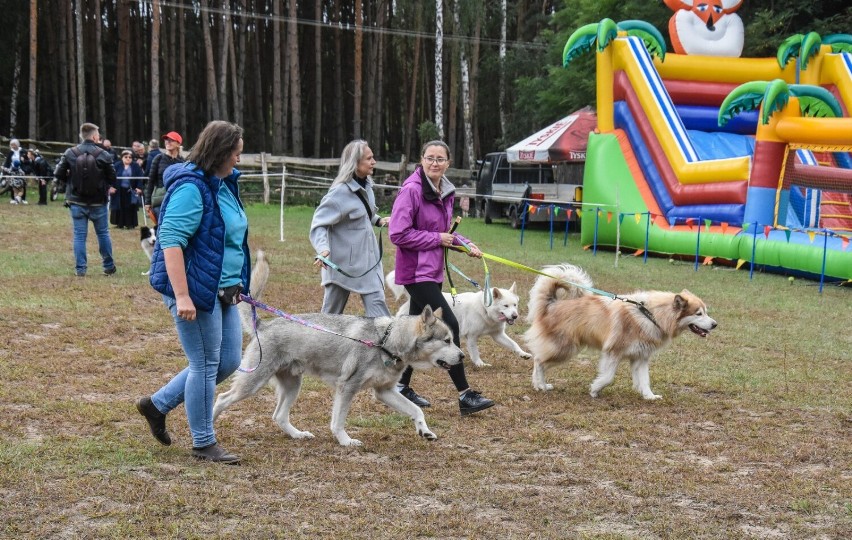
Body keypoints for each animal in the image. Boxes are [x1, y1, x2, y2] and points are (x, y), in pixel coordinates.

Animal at [213, 251, 466, 446]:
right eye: (446, 340)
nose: (463, 356)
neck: (385, 341)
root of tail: (263, 325)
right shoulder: (347, 387)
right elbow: (338, 422)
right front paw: (345, 441)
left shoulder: (385, 391)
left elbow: (416, 410)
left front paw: (425, 431)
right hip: (253, 383)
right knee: (221, 399)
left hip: (293, 385)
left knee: (279, 417)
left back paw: (298, 435)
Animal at [388, 270, 532, 368]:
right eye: (505, 306)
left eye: (515, 305)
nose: (515, 316)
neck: (485, 311)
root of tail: (410, 299)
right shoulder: (472, 337)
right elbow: (475, 352)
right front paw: (480, 364)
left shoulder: (498, 335)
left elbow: (514, 344)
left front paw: (523, 354)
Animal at [524, 264, 716, 398]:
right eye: (699, 313)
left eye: (706, 311)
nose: (715, 324)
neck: (650, 315)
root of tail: (551, 304)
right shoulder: (613, 352)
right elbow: (608, 377)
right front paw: (595, 389)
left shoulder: (641, 357)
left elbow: (644, 380)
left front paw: (649, 396)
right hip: (564, 349)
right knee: (539, 361)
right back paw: (541, 385)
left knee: (538, 360)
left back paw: (538, 385)